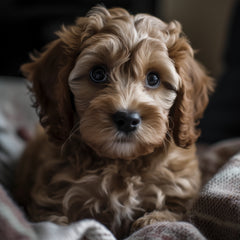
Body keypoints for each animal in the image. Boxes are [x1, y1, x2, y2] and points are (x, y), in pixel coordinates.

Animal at [15, 5, 214, 238]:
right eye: (98, 73)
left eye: (153, 78)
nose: (127, 119)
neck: (121, 163)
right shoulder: (49, 202)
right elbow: (59, 225)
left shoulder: (181, 193)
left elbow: (172, 215)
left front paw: (151, 220)